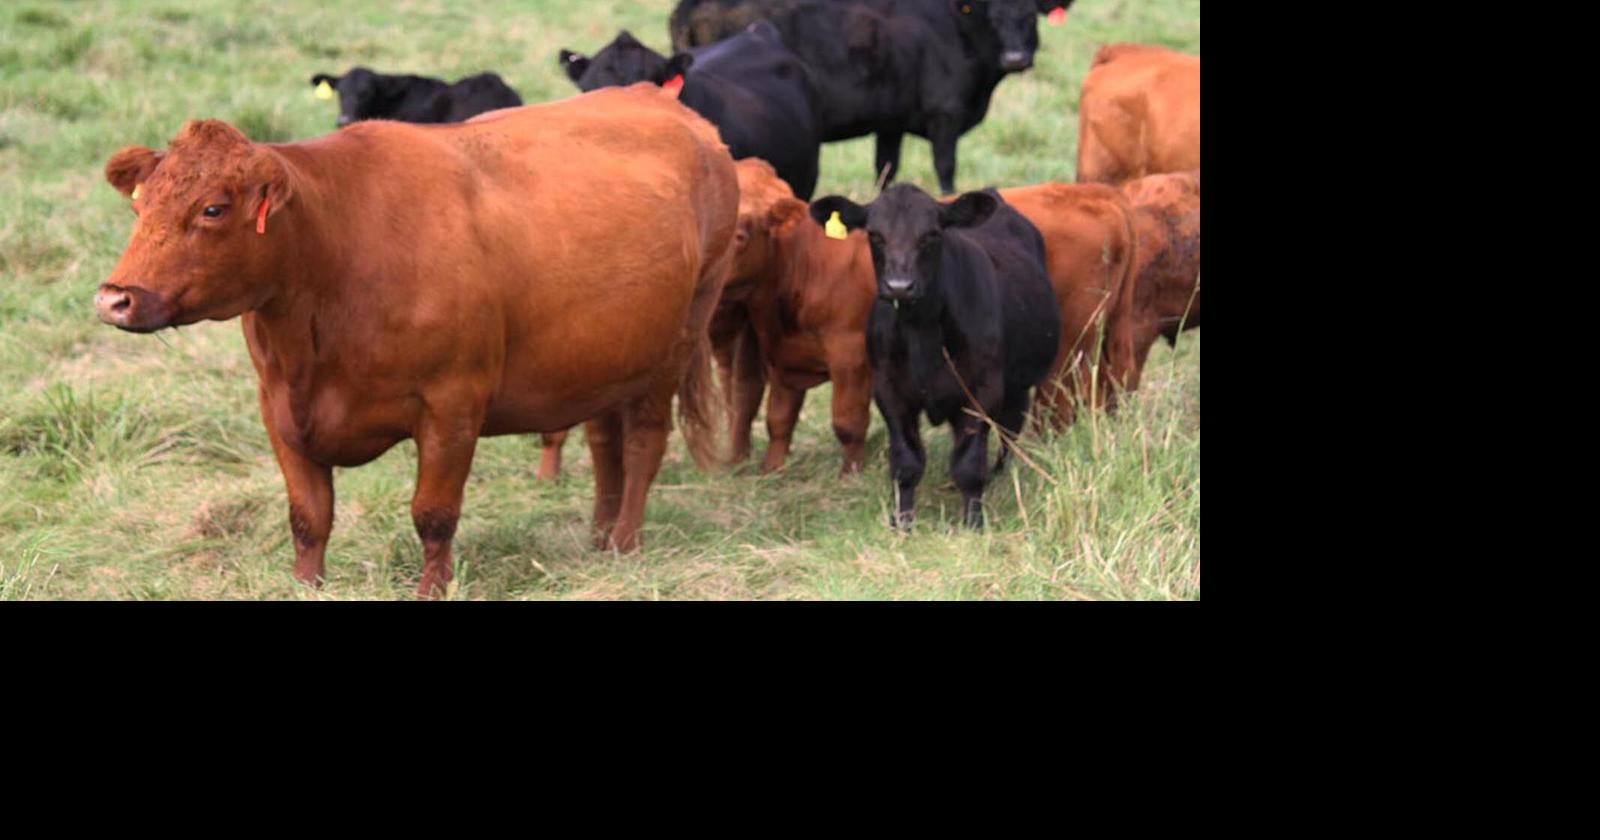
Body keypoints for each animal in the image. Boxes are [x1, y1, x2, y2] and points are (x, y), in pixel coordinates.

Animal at [95, 85, 737, 598]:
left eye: (213, 209)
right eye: (140, 205)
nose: (114, 298)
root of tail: (668, 104)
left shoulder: (452, 405)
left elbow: (433, 514)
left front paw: (432, 588)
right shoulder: (278, 407)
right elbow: (308, 517)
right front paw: (305, 586)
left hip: (679, 340)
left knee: (644, 443)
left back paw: (626, 542)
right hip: (606, 357)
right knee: (606, 442)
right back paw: (599, 537)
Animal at [668, 0, 1074, 194]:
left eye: (1031, 17)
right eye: (995, 16)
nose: (1016, 57)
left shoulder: (891, 122)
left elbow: (885, 169)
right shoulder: (946, 112)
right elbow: (946, 167)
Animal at [809, 184, 1060, 528]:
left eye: (931, 234)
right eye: (874, 234)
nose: (899, 286)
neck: (923, 332)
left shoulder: (982, 390)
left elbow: (969, 464)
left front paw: (973, 521)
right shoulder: (888, 390)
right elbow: (906, 463)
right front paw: (902, 522)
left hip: (1017, 386)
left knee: (1009, 432)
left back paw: (998, 475)